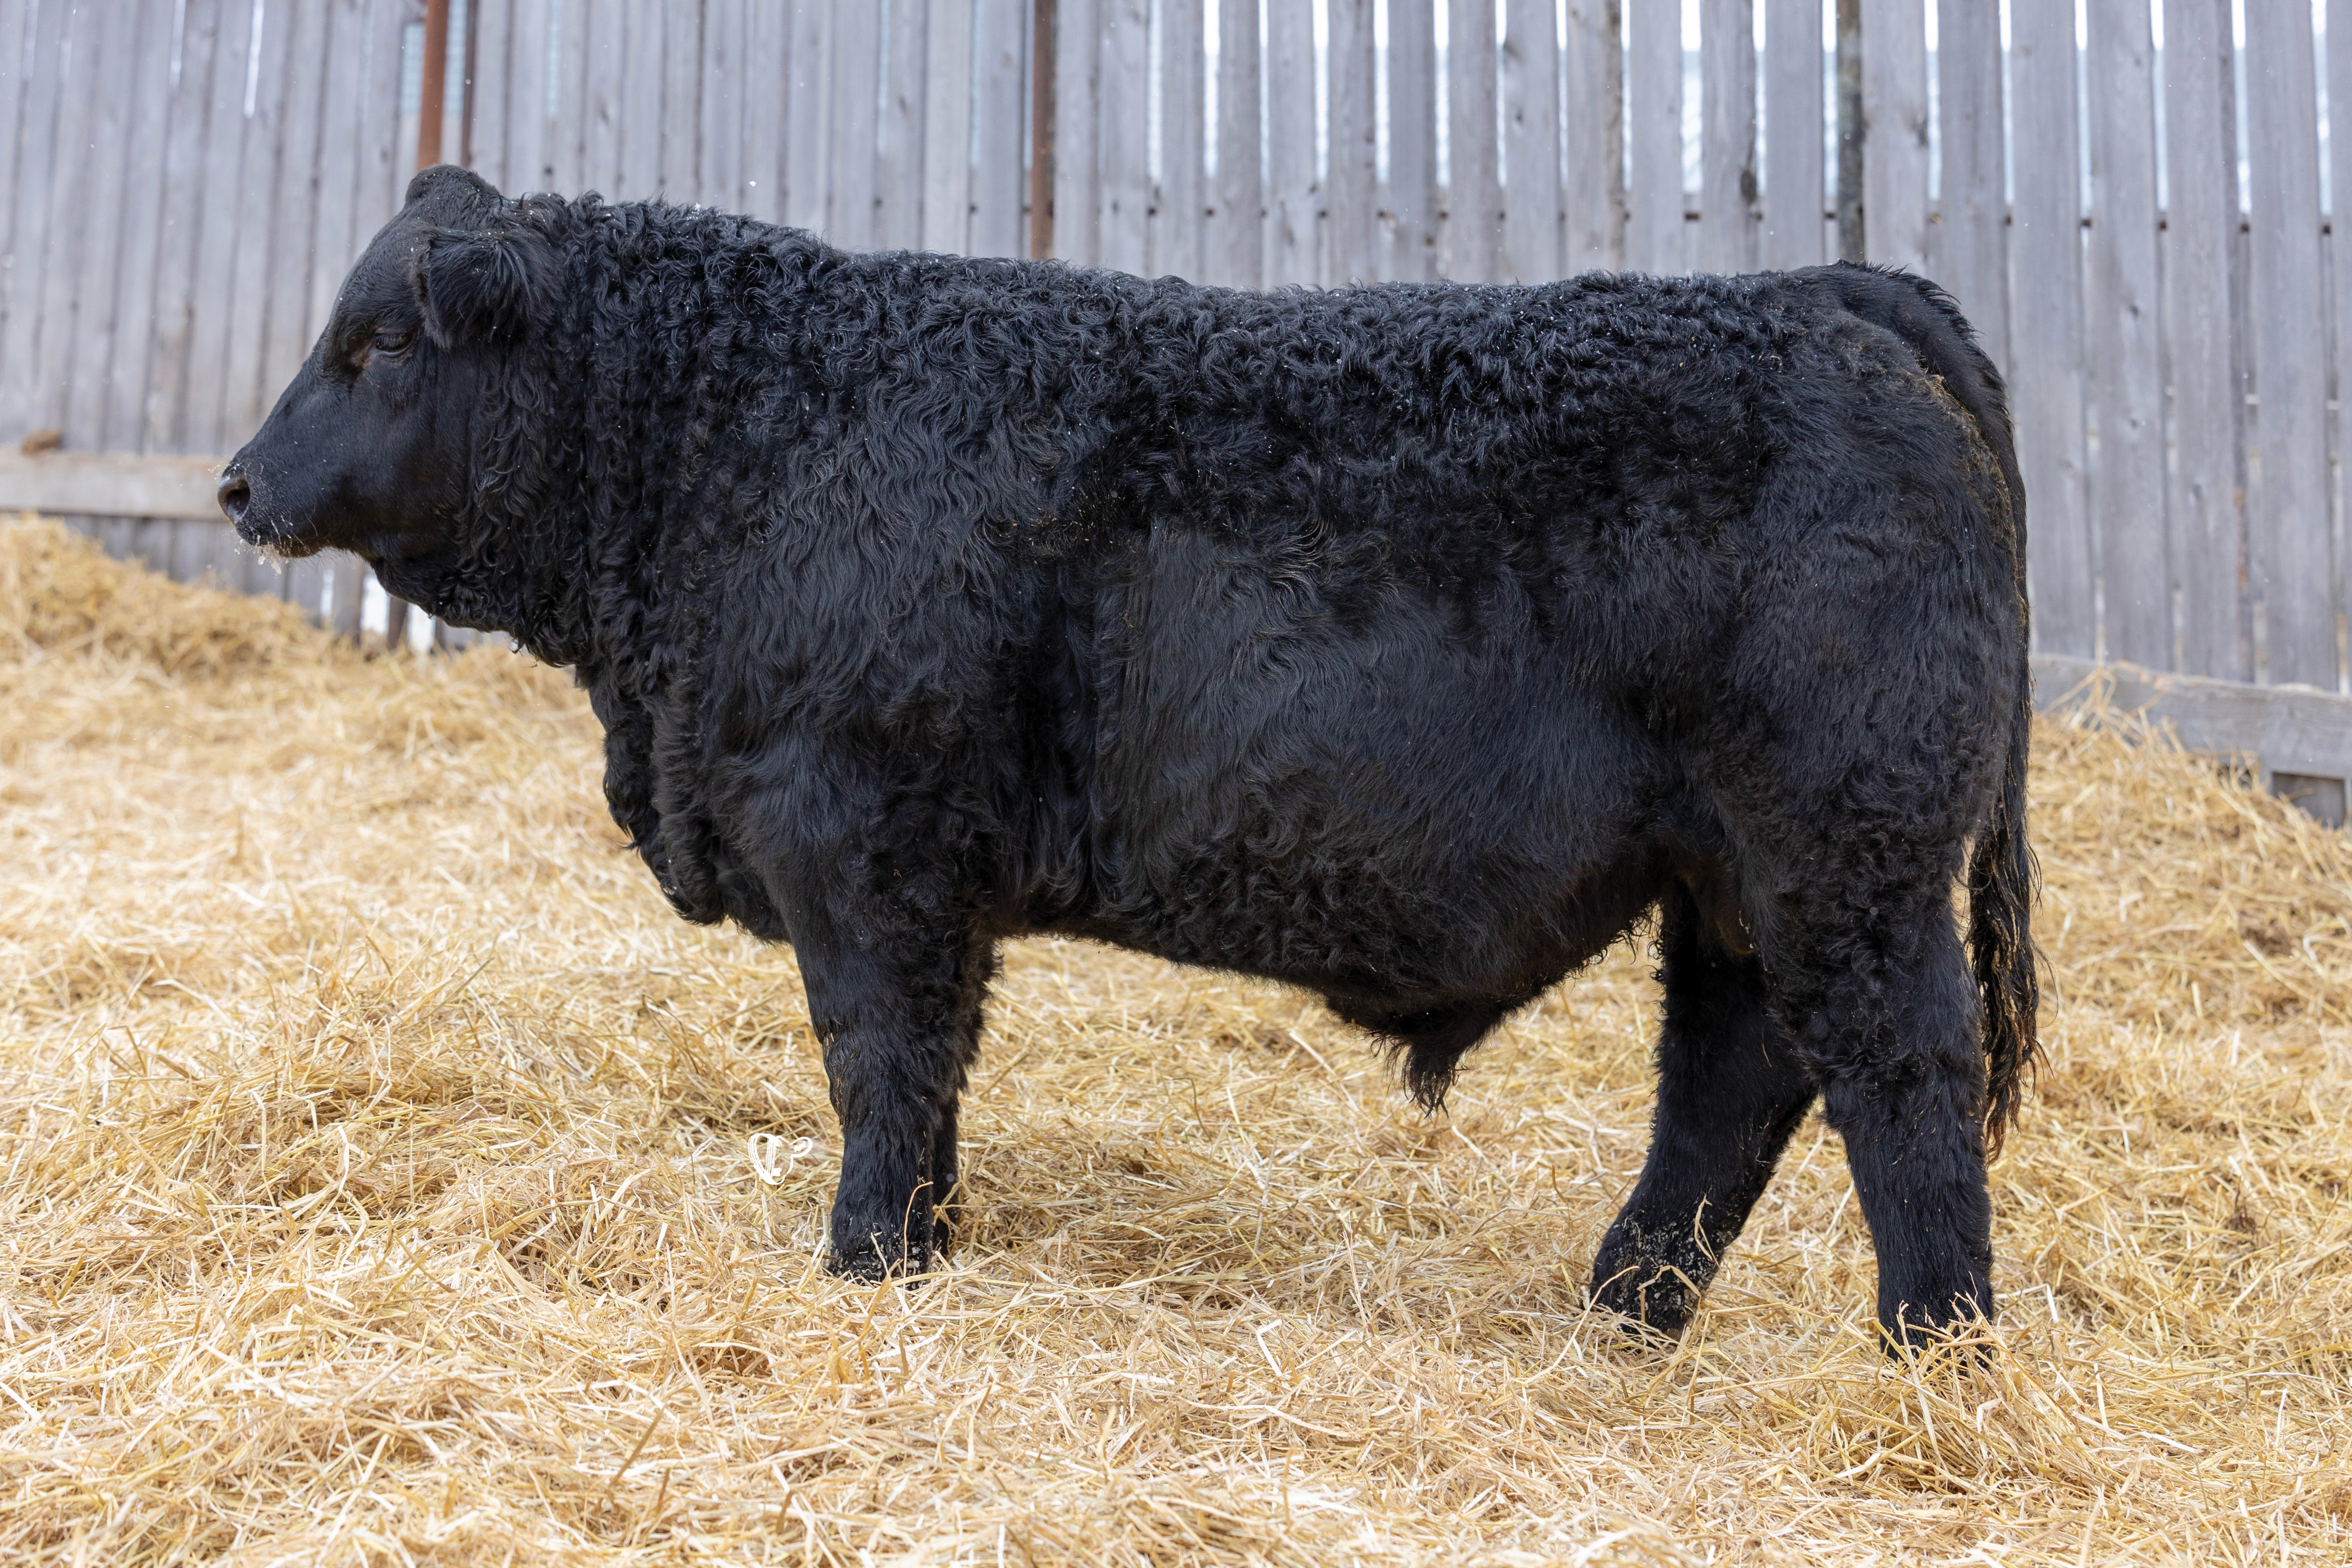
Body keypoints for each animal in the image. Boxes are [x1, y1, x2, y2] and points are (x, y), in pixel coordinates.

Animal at [221, 166, 2038, 1350]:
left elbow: (879, 1062)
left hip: (1849, 859)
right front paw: (923, 1245)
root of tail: (1821, 295)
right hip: (1738, 882)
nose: (236, 484)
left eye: (376, 349)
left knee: (1896, 1079)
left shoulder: (857, 842)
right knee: (1729, 1081)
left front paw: (863, 1264)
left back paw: (1932, 1354)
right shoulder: (929, 878)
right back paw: (1625, 1316)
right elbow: (935, 1070)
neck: (737, 435)